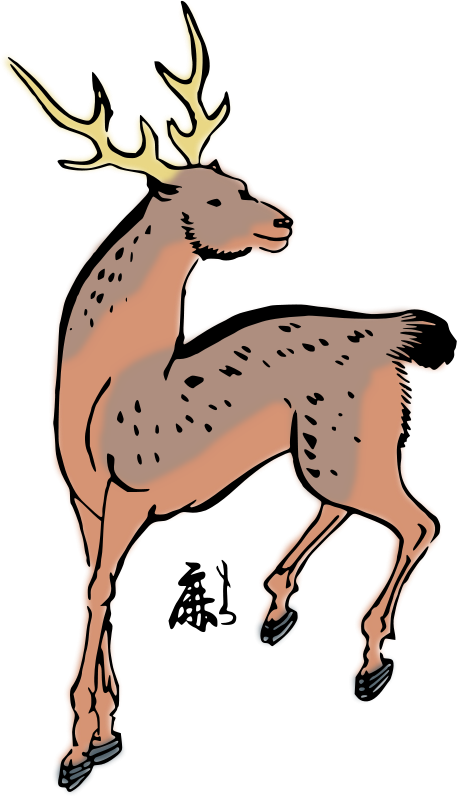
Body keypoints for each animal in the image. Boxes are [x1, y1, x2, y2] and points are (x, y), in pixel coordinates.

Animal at [1, 2, 449, 795]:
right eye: (216, 193)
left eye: (241, 177)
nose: (285, 221)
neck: (107, 387)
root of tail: (394, 337)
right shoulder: (85, 500)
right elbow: (94, 586)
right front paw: (106, 736)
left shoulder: (131, 490)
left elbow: (98, 592)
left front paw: (76, 754)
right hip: (328, 450)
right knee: (349, 510)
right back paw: (275, 608)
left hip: (343, 449)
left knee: (417, 520)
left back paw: (370, 664)